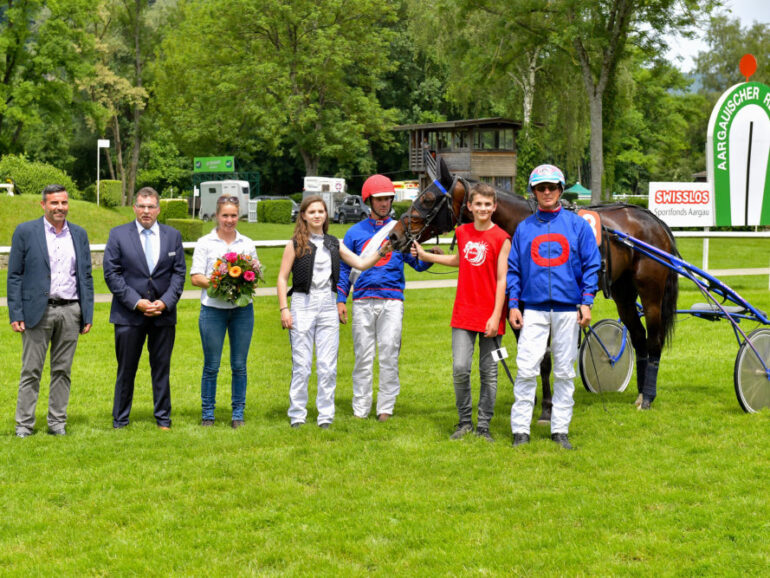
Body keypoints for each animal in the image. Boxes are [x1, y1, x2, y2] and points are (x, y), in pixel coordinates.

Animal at [390, 158, 680, 412]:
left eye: (427, 199)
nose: (394, 235)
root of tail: (655, 222)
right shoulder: (517, 308)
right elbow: (531, 356)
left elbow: (546, 358)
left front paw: (548, 407)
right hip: (624, 293)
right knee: (639, 338)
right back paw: (641, 393)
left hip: (651, 293)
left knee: (653, 341)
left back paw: (648, 397)